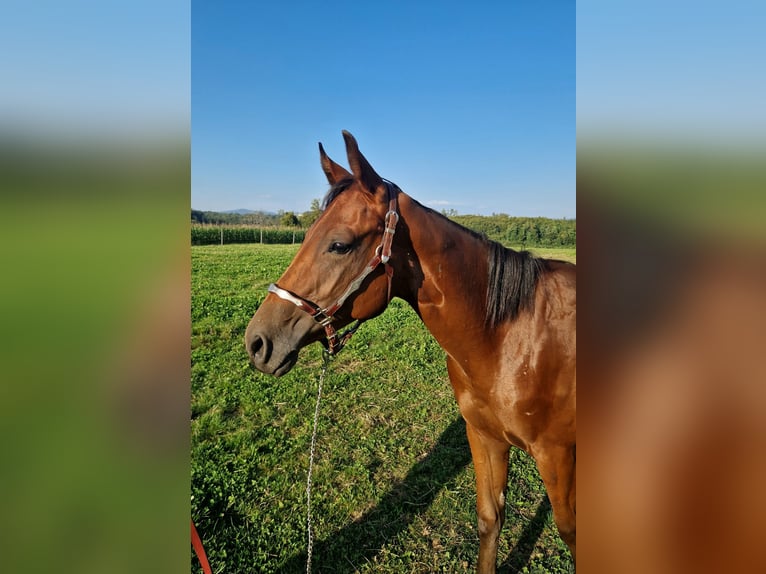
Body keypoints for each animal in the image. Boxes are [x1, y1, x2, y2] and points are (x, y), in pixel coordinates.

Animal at [245, 131, 576, 572]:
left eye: (339, 245)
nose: (257, 342)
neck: (509, 336)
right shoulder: (484, 437)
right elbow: (490, 519)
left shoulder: (557, 456)